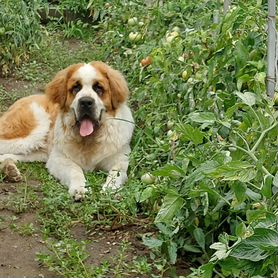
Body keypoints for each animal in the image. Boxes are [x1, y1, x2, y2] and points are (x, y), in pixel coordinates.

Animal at [0, 60, 135, 200]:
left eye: (98, 88)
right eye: (76, 88)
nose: (86, 102)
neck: (89, 140)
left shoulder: (120, 157)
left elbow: (117, 172)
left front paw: (110, 189)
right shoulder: (58, 158)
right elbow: (75, 169)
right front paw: (79, 188)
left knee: (8, 155)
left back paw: (9, 169)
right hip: (33, 132)